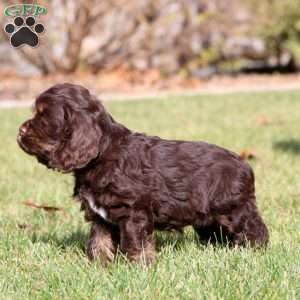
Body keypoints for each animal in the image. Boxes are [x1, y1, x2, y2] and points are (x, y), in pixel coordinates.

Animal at [17, 83, 268, 264]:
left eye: (43, 117)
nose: (19, 131)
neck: (102, 154)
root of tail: (245, 165)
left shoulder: (134, 211)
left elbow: (135, 242)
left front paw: (137, 266)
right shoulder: (100, 216)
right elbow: (99, 241)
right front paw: (98, 265)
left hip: (234, 210)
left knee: (255, 231)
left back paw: (256, 253)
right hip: (208, 218)